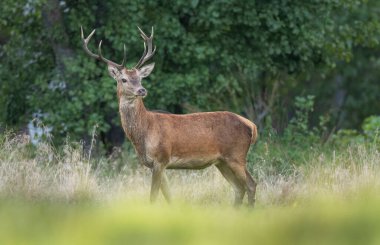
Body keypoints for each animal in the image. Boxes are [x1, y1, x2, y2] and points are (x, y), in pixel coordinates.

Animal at [80, 25, 258, 206]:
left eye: (140, 78)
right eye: (123, 79)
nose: (142, 90)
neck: (145, 132)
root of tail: (251, 125)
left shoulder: (161, 157)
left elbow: (153, 197)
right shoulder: (155, 164)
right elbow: (168, 196)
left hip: (236, 155)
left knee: (250, 184)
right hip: (222, 161)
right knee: (239, 188)